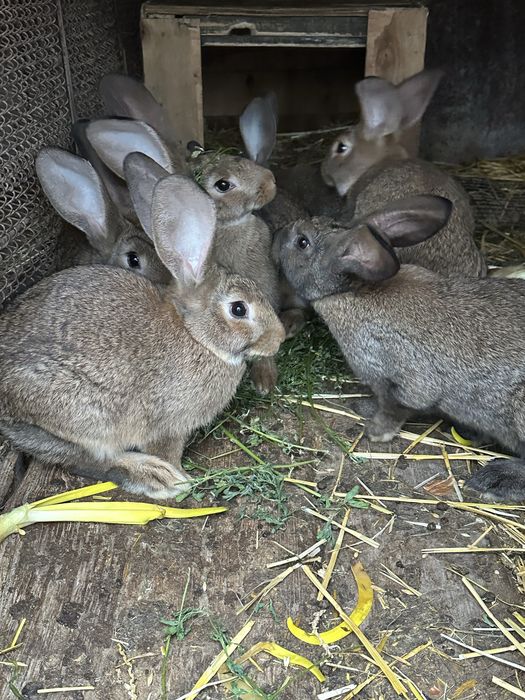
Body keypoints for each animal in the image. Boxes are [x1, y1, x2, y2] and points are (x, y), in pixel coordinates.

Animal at [274, 192, 525, 502]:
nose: (277, 233)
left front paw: (375, 431)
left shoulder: (403, 377)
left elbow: (397, 406)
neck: (352, 290)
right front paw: (364, 406)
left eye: (302, 242)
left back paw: (495, 478)